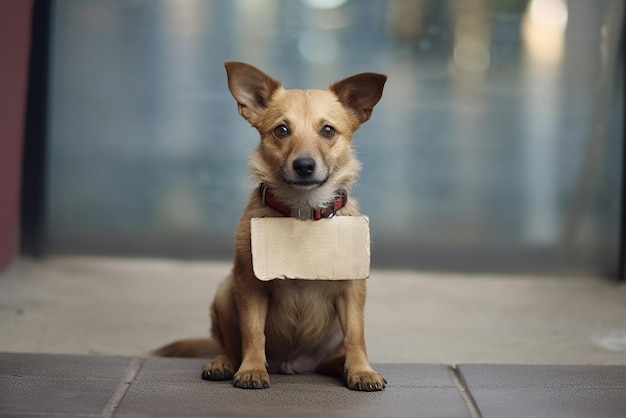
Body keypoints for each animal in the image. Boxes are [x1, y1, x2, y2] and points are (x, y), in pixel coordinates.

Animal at [157, 62, 386, 392]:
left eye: (328, 130)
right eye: (281, 130)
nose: (304, 165)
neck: (303, 210)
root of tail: (292, 365)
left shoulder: (351, 289)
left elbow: (357, 335)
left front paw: (361, 370)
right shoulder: (250, 286)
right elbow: (253, 332)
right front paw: (252, 369)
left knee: (339, 352)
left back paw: (342, 367)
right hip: (225, 292)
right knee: (231, 346)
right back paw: (223, 363)